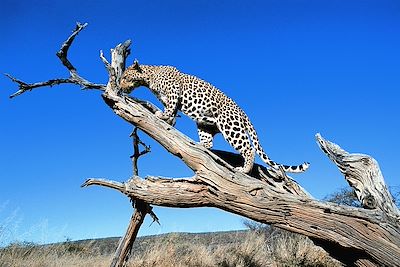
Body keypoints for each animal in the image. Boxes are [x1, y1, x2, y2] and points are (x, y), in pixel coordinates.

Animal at [119, 60, 310, 174]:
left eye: (125, 77)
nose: (120, 86)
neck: (149, 78)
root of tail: (243, 113)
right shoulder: (168, 99)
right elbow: (172, 112)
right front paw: (168, 119)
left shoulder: (174, 92)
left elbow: (170, 108)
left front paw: (163, 116)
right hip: (205, 124)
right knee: (209, 143)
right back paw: (198, 145)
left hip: (230, 126)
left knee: (249, 148)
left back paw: (244, 169)